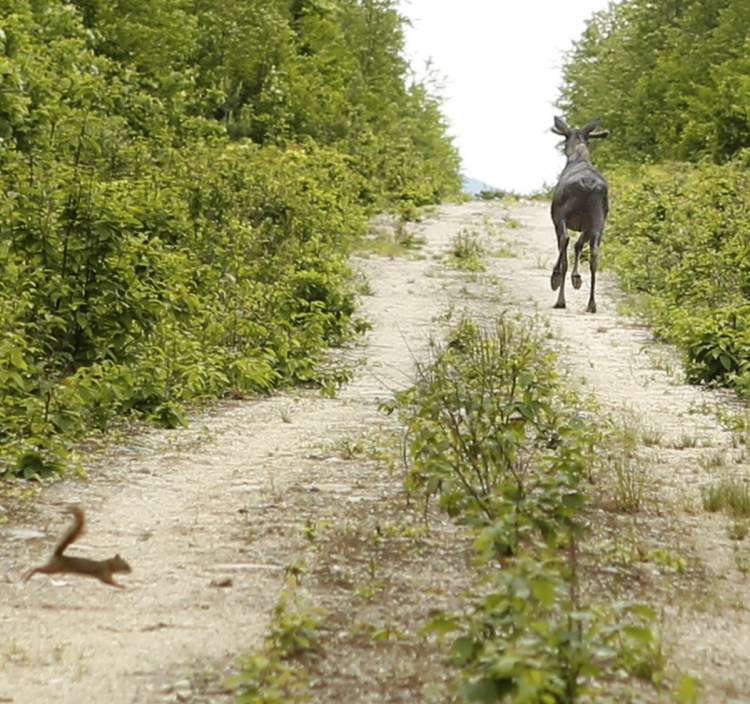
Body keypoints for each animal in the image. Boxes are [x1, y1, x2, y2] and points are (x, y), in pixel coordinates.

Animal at [552, 115, 612, 310]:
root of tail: (588, 184)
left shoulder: (556, 218)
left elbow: (566, 245)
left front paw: (560, 277)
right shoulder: (587, 226)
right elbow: (579, 245)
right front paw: (576, 278)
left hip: (562, 214)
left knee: (565, 241)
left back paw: (560, 296)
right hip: (598, 220)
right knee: (594, 254)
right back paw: (591, 304)